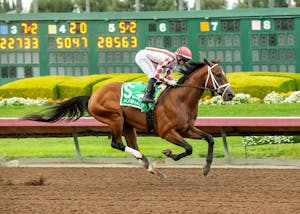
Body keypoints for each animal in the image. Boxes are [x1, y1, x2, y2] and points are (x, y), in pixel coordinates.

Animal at [24, 58, 234, 179]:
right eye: (217, 74)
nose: (230, 94)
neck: (180, 99)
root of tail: (92, 95)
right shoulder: (167, 132)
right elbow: (188, 148)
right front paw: (169, 153)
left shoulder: (187, 129)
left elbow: (210, 139)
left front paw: (206, 167)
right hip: (115, 118)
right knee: (116, 143)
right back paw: (144, 159)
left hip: (128, 125)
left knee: (130, 144)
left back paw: (152, 168)